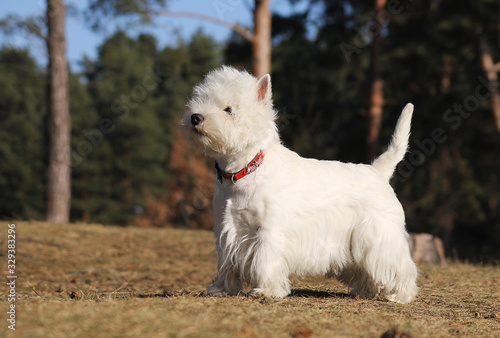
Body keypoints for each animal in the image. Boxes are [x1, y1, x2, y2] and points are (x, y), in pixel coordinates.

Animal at [182, 66, 420, 304]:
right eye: (200, 99)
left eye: (229, 109)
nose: (195, 117)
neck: (245, 170)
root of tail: (377, 171)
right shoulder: (226, 228)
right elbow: (226, 262)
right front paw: (222, 288)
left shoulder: (269, 230)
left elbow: (265, 260)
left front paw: (267, 290)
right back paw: (365, 292)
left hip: (380, 234)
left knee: (399, 265)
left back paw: (402, 295)